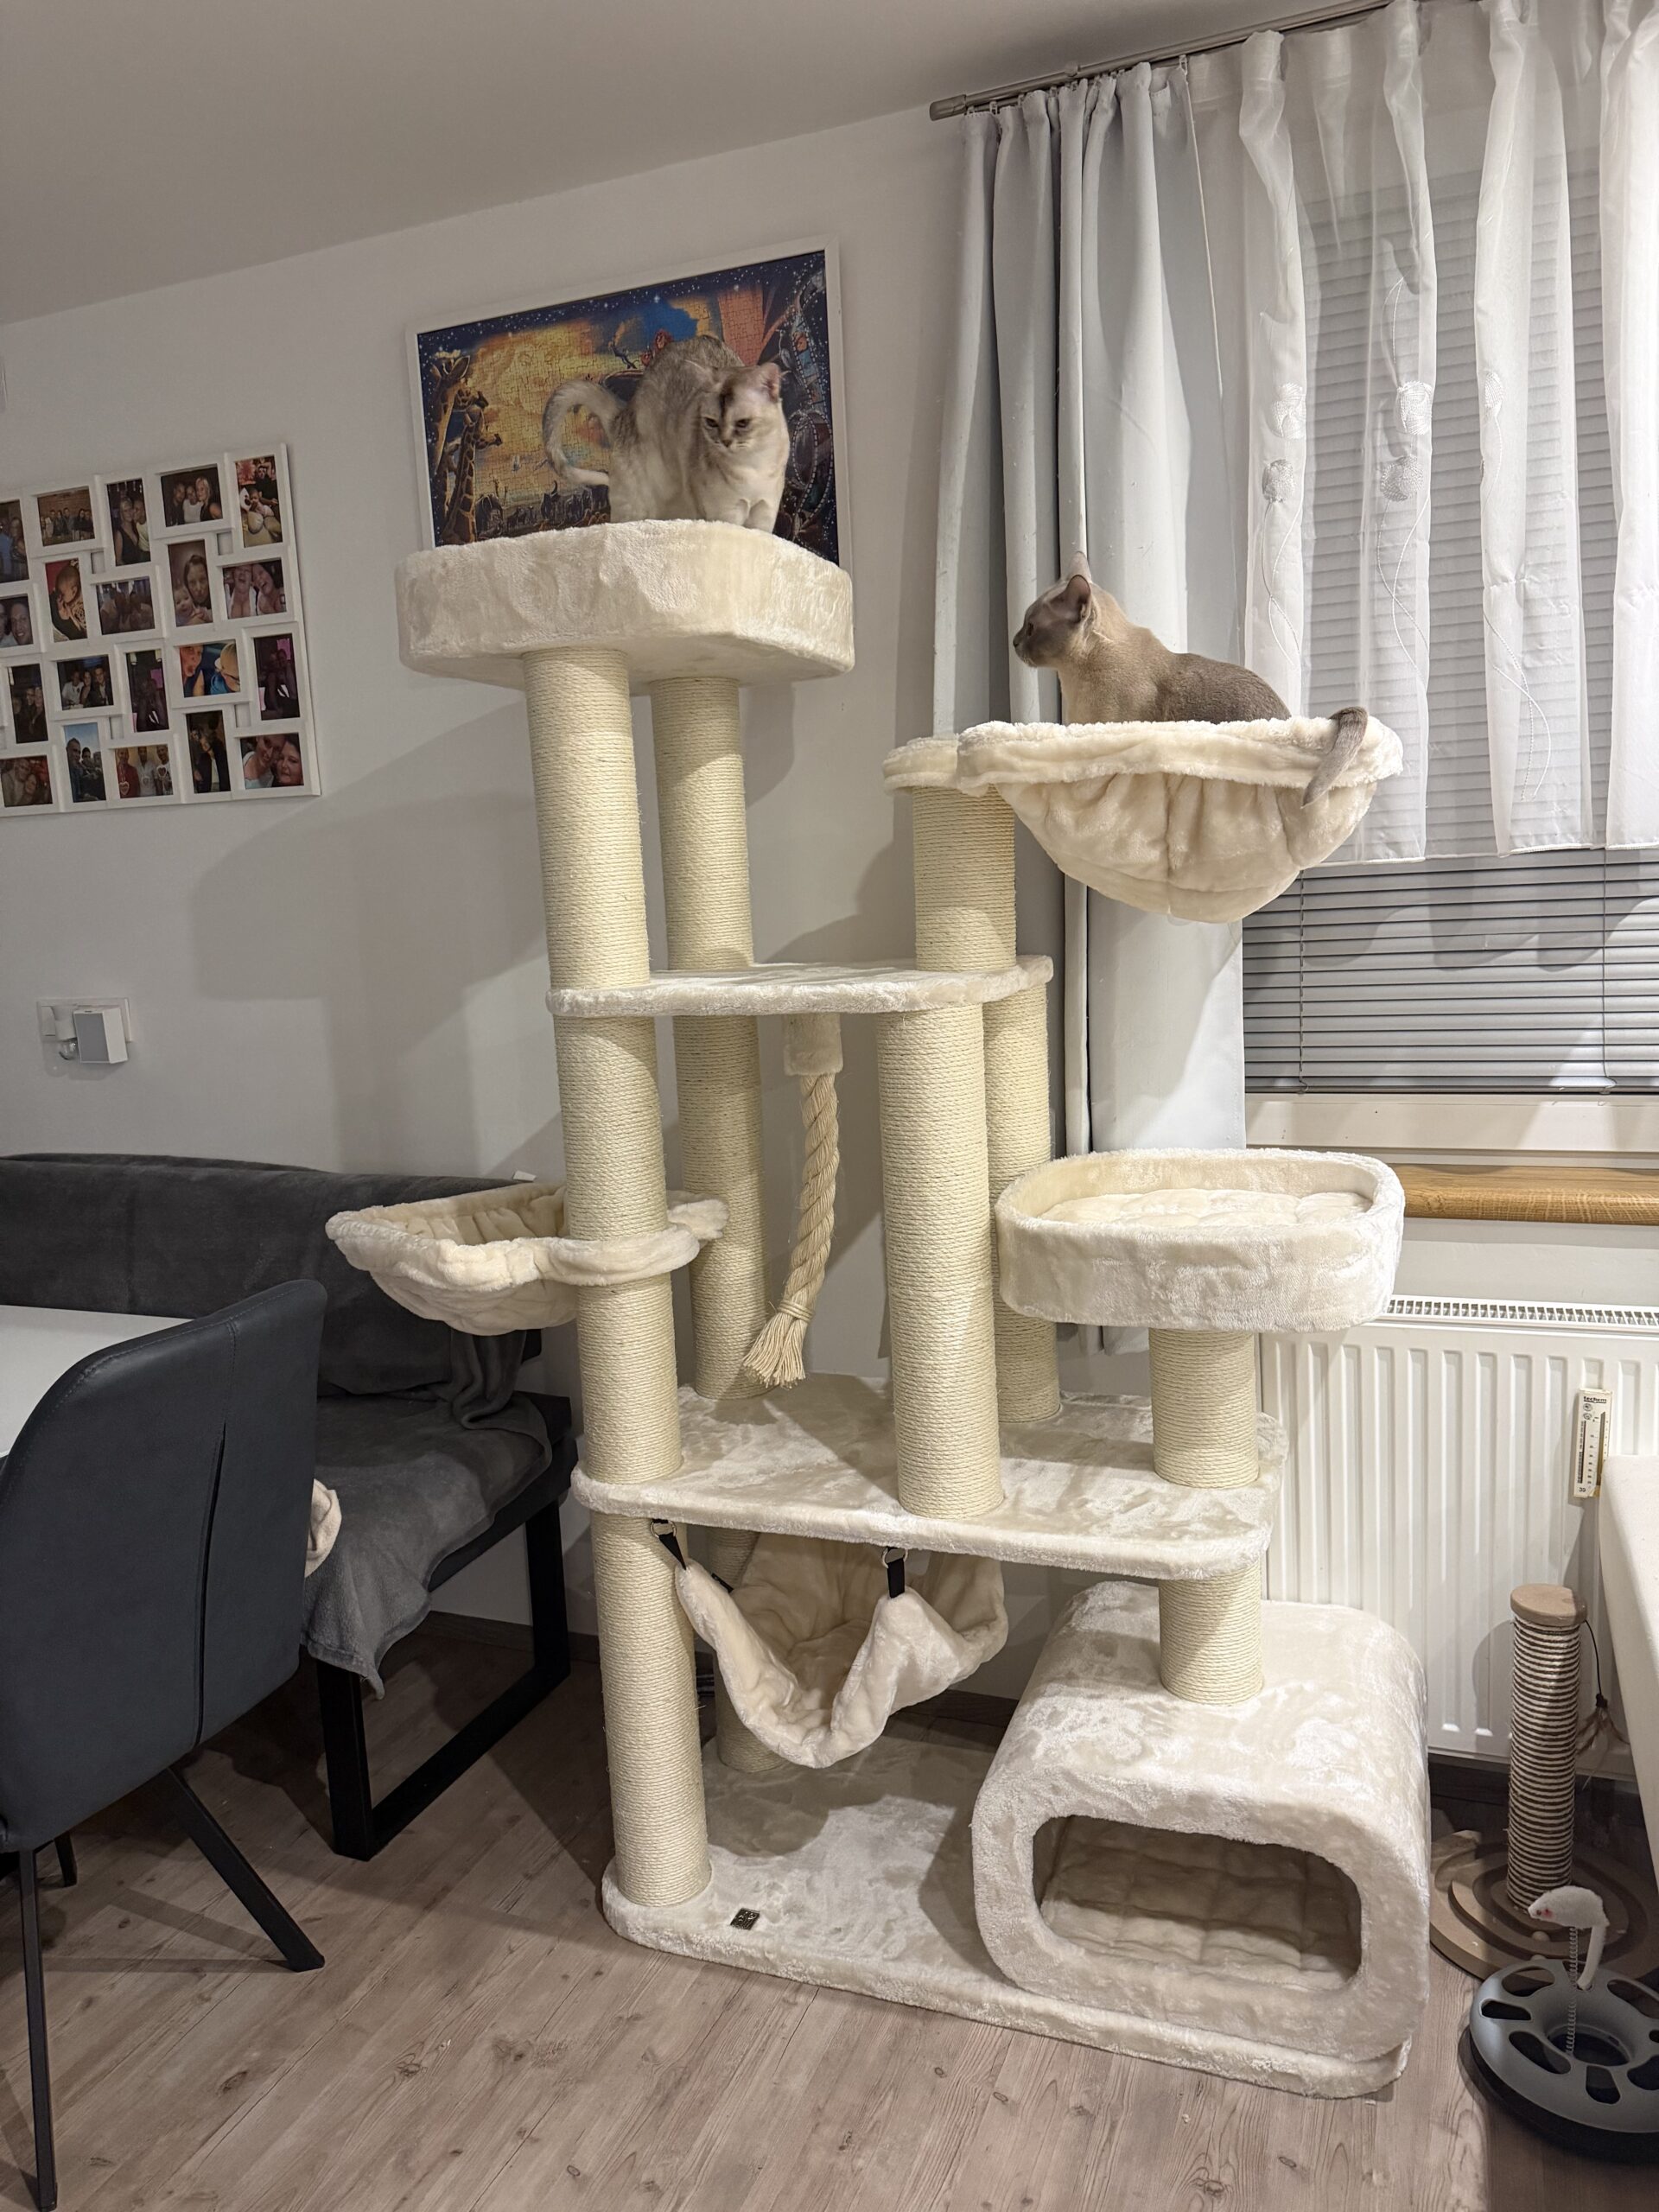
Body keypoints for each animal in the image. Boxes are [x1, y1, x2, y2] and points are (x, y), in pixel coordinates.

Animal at [542, 335, 789, 530]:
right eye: (711, 423)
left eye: (742, 423)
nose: (724, 442)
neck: (752, 465)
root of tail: (623, 415)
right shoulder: (727, 515)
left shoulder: (764, 516)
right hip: (637, 507)